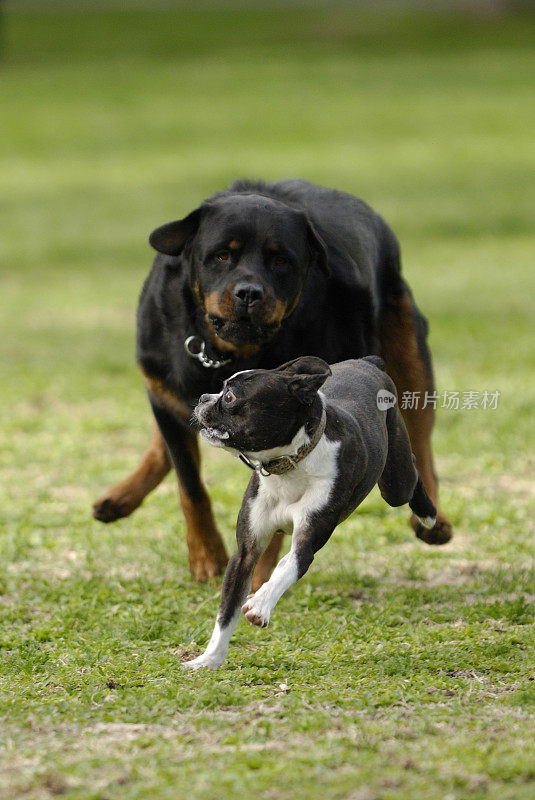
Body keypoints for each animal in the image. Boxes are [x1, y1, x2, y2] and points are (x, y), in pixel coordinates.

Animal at [93, 178, 452, 584]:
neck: (232, 352)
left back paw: (432, 518)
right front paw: (207, 557)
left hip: (407, 349)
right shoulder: (166, 395)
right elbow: (190, 485)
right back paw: (121, 496)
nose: (249, 292)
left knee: (418, 439)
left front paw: (260, 572)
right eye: (221, 256)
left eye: (281, 261)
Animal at [183, 356, 436, 668]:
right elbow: (225, 612)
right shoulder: (244, 554)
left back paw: (428, 514)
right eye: (220, 389)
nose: (204, 397)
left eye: (229, 397)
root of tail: (367, 362)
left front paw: (260, 604)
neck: (289, 463)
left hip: (395, 483)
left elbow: (286, 567)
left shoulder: (306, 541)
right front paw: (209, 660)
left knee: (410, 472)